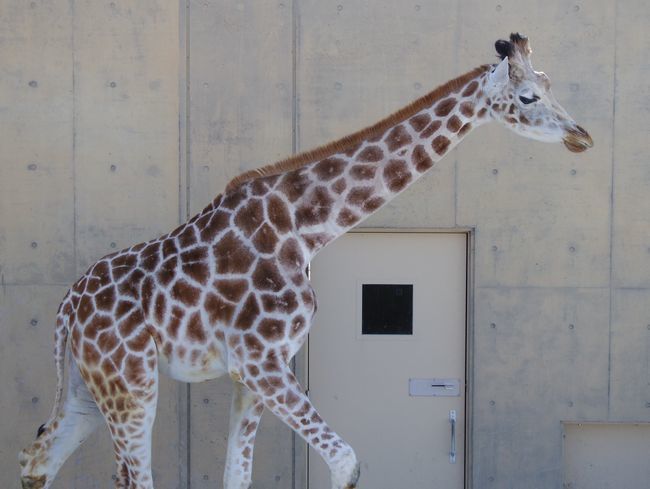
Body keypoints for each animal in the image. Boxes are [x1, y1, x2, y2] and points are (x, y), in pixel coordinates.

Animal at [20, 33, 588, 488]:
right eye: (529, 95)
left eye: (551, 84)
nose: (581, 135)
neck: (307, 228)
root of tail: (67, 308)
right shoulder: (260, 359)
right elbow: (346, 463)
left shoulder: (251, 372)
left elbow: (239, 477)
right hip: (131, 382)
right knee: (128, 476)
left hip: (88, 387)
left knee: (36, 457)